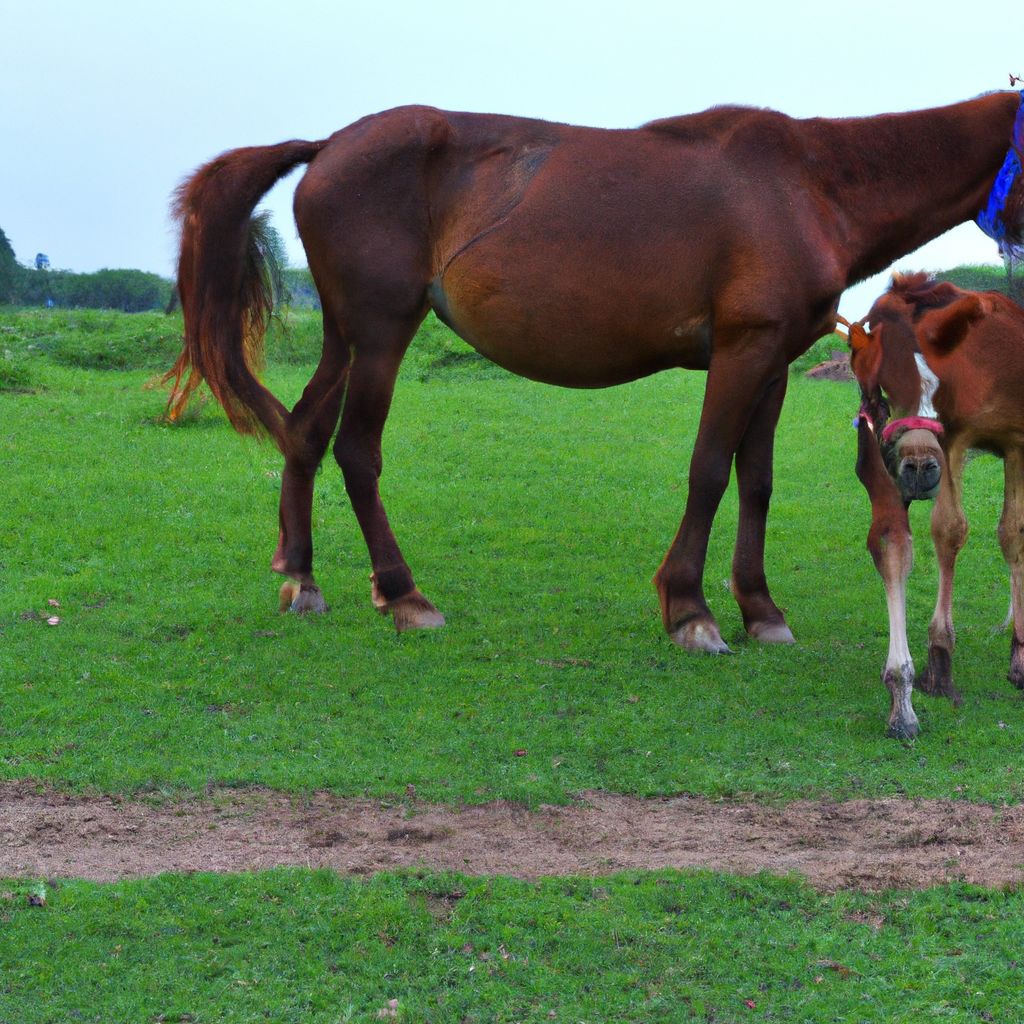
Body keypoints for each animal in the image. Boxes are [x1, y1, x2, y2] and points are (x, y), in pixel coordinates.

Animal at [163, 90, 1019, 647]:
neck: (807, 183)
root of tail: (329, 145)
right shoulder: (740, 353)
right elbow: (709, 470)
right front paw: (690, 608)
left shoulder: (772, 361)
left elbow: (756, 482)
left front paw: (760, 609)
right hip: (379, 334)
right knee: (354, 451)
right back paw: (404, 594)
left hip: (344, 336)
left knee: (304, 434)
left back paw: (303, 580)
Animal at [843, 272, 1024, 737]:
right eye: (884, 381)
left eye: (935, 380)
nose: (920, 468)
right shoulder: (946, 441)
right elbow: (938, 532)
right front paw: (935, 665)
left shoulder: (1014, 442)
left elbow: (1007, 533)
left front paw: (1017, 655)